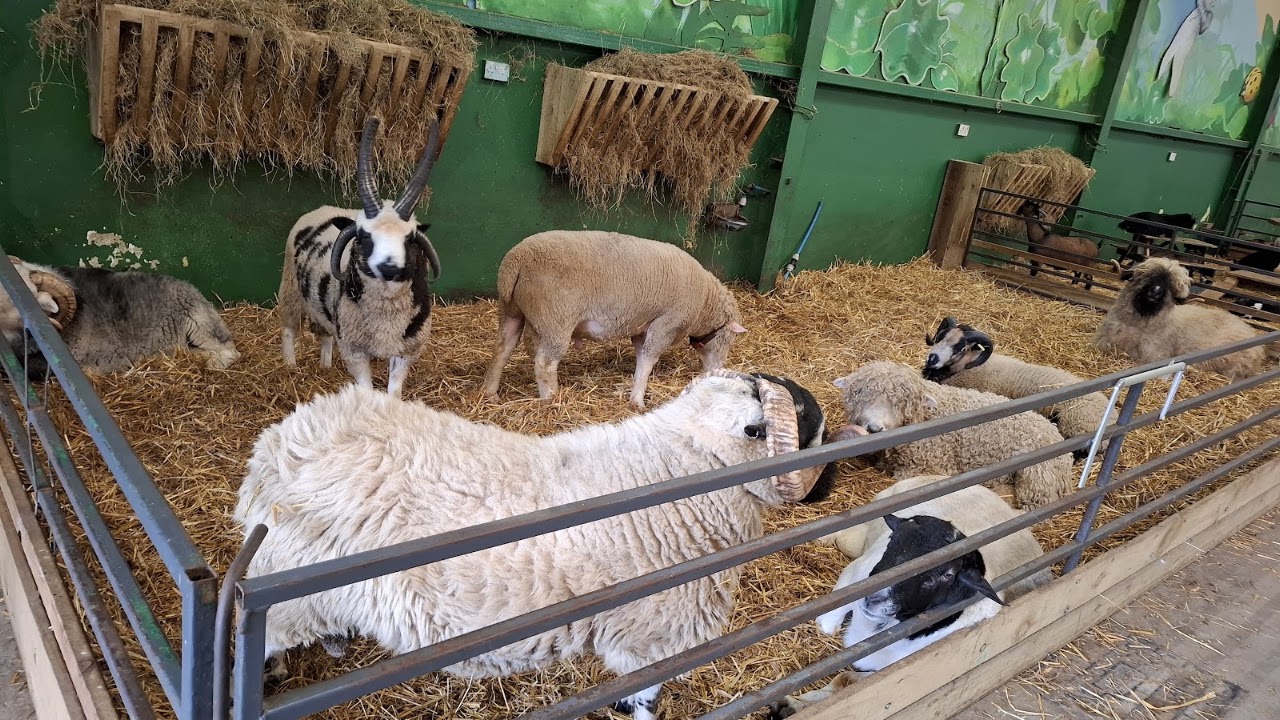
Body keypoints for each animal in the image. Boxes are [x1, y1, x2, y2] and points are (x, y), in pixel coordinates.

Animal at [234, 370, 831, 720]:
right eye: (786, 421)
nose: (826, 481)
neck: (683, 464)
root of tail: (276, 448)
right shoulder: (652, 638)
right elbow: (643, 700)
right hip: (292, 601)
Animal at [279, 117, 443, 398]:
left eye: (410, 238)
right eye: (364, 236)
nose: (389, 267)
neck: (385, 313)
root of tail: (324, 208)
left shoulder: (406, 350)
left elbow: (394, 392)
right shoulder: (354, 350)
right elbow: (366, 390)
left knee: (325, 335)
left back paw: (325, 365)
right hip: (290, 289)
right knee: (289, 330)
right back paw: (290, 366)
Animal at [480, 230, 746, 408]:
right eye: (728, 339)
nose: (718, 369)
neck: (704, 304)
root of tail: (514, 262)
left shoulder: (643, 325)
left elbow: (641, 356)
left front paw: (636, 385)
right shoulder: (667, 323)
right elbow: (649, 357)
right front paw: (637, 400)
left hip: (512, 312)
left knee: (502, 348)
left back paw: (490, 392)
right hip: (556, 318)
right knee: (544, 363)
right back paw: (552, 398)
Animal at [768, 475, 1050, 719]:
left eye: (947, 574)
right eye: (894, 541)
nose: (873, 597)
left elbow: (844, 680)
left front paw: (795, 706)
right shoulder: (857, 572)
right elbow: (829, 627)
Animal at [834, 361, 1072, 508]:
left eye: (901, 403)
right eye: (859, 393)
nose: (874, 428)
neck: (926, 417)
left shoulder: (933, 466)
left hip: (1037, 476)